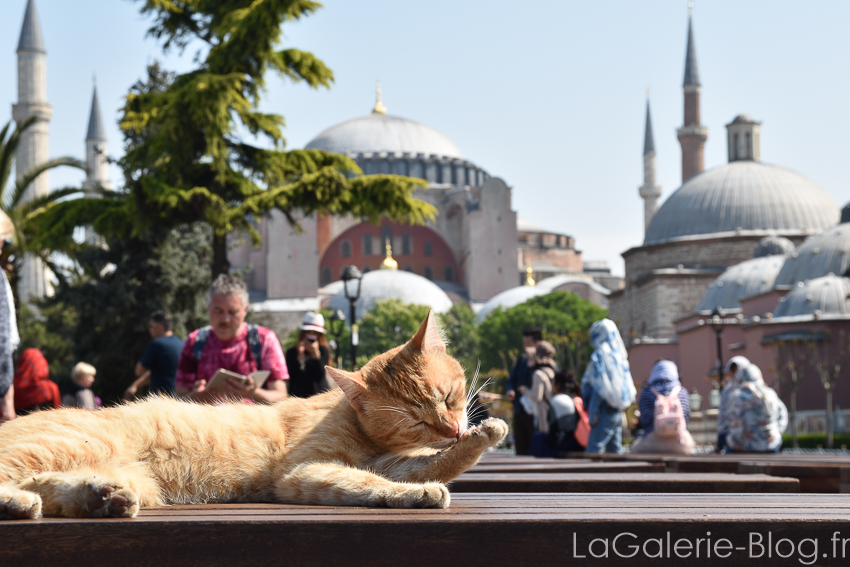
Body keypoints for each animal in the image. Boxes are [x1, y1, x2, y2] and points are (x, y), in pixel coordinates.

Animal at [0, 310, 504, 520]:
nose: (452, 427)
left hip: (129, 478)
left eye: (449, 397)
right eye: (416, 419)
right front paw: (420, 494)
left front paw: (479, 437)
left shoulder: (390, 460)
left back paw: (100, 497)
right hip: (66, 446)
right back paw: (28, 503)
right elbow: (369, 482)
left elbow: (427, 464)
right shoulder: (303, 471)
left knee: (49, 487)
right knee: (17, 479)